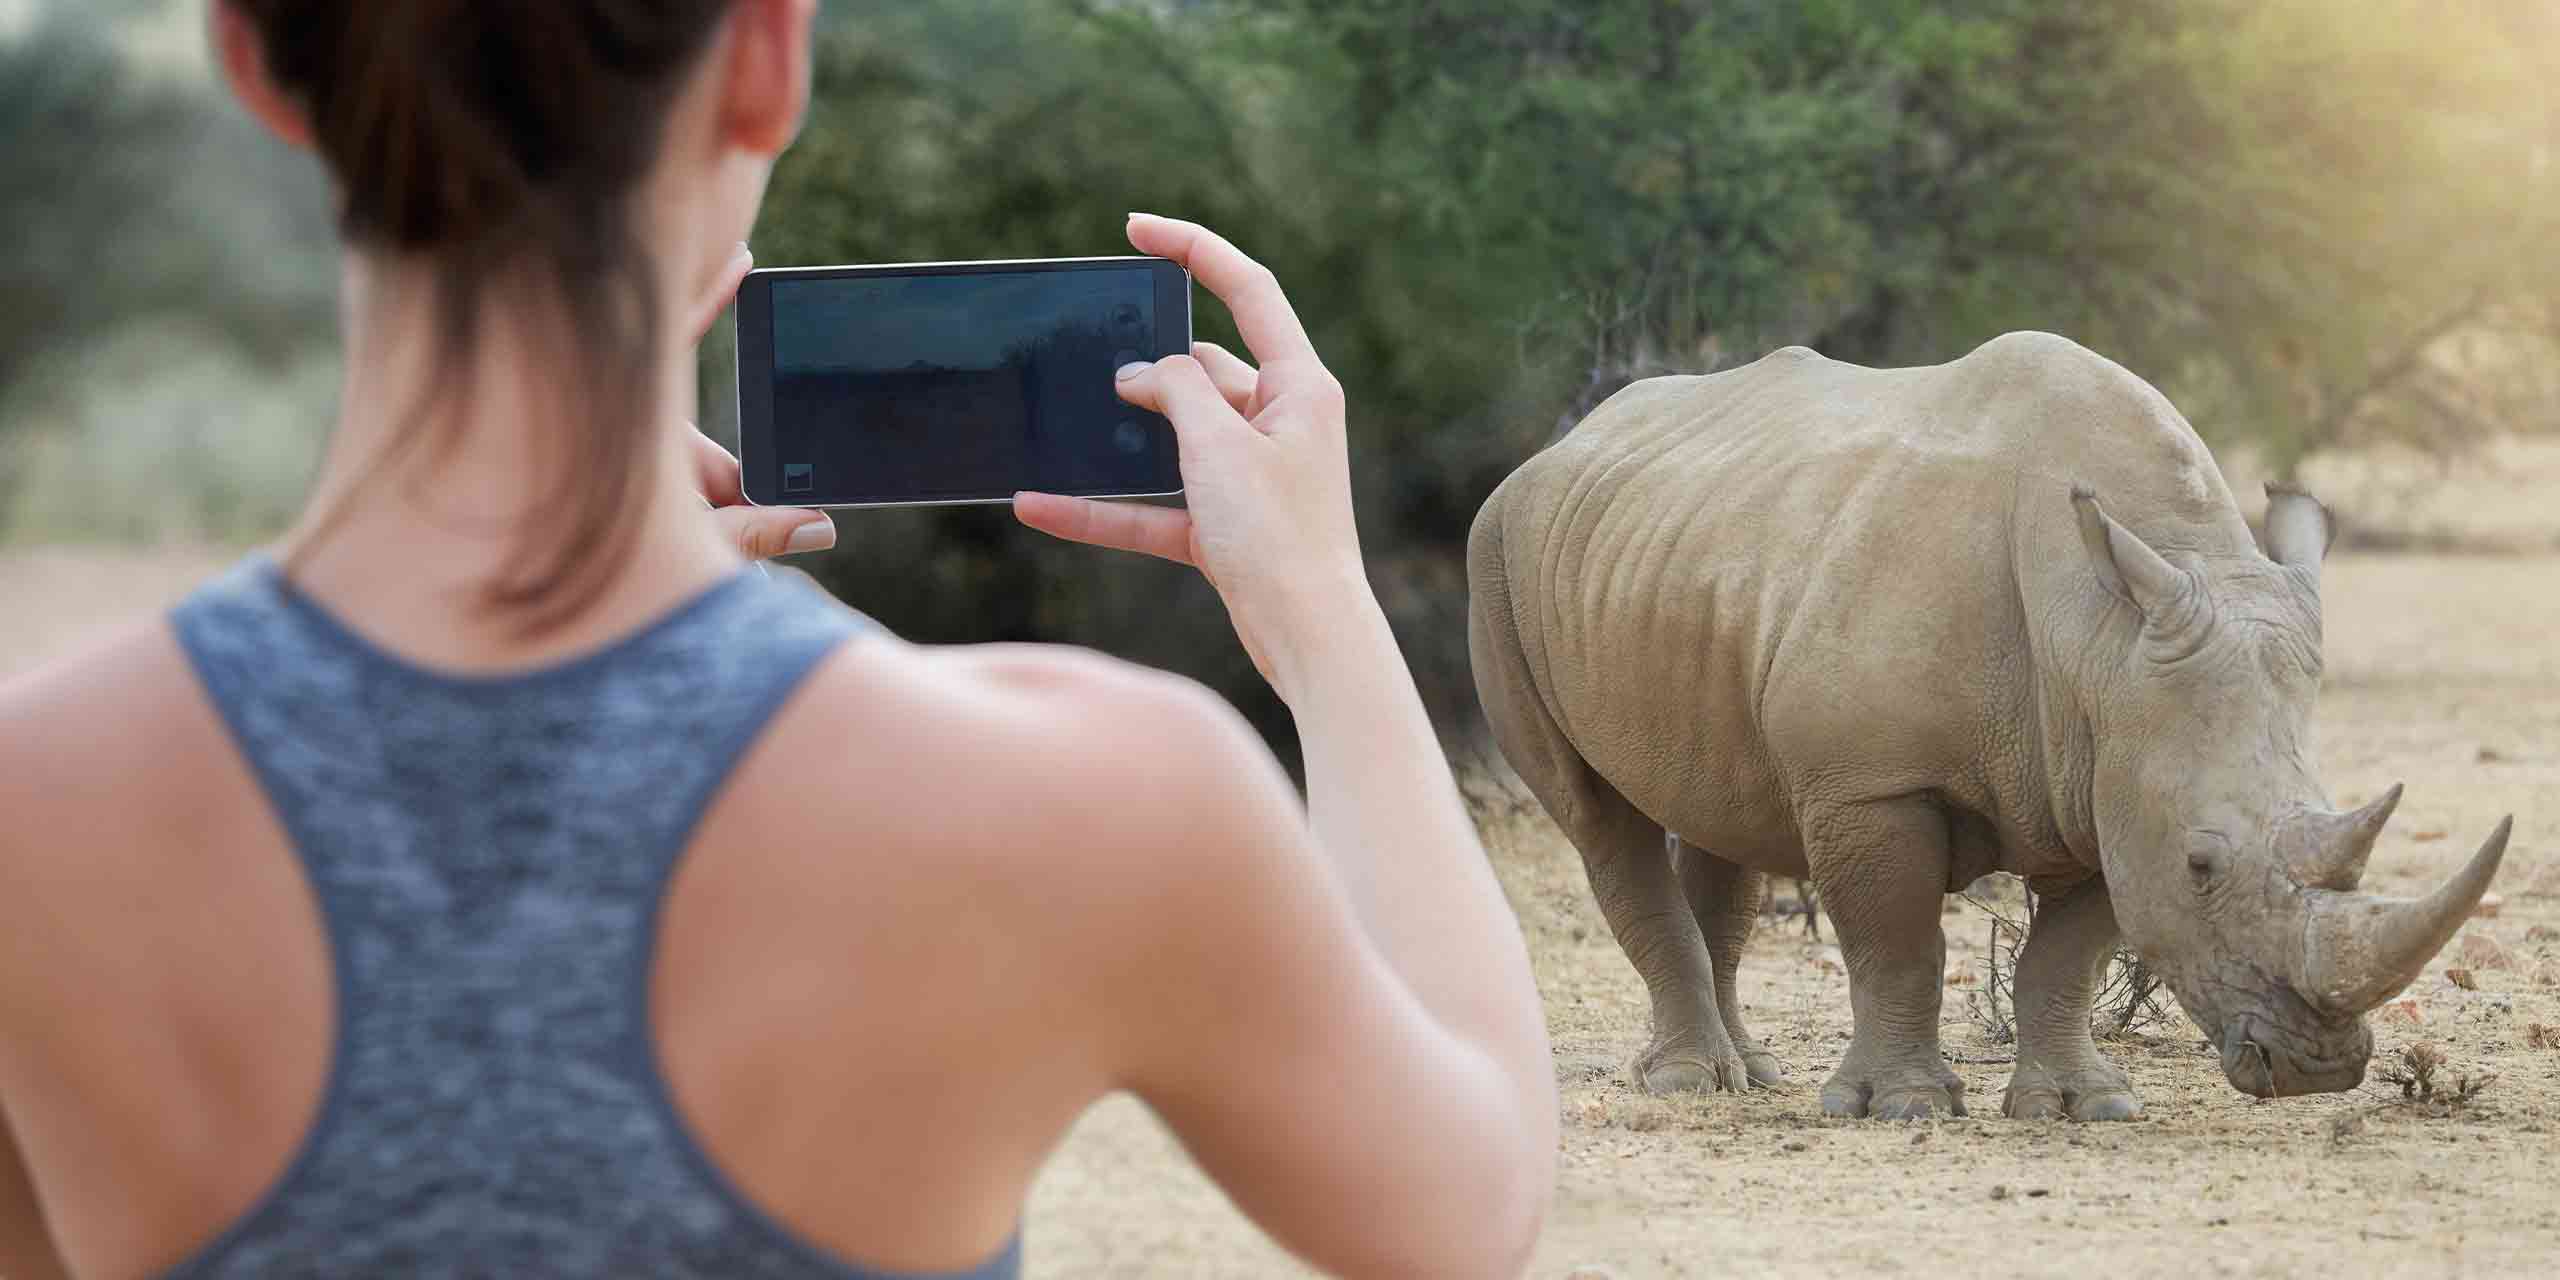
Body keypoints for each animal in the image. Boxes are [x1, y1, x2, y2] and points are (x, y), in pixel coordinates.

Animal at [1474, 330, 2508, 1121]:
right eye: (2200, 867)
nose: (2316, 1071)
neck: (2100, 635)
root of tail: (1565, 443)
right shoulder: (1871, 783)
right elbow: (1898, 944)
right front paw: (1904, 1107)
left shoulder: (2106, 778)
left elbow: (2067, 953)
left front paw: (2084, 1106)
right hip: (1498, 546)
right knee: (1596, 815)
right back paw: (1692, 1085)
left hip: (1682, 555)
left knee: (1719, 816)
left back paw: (1753, 1073)